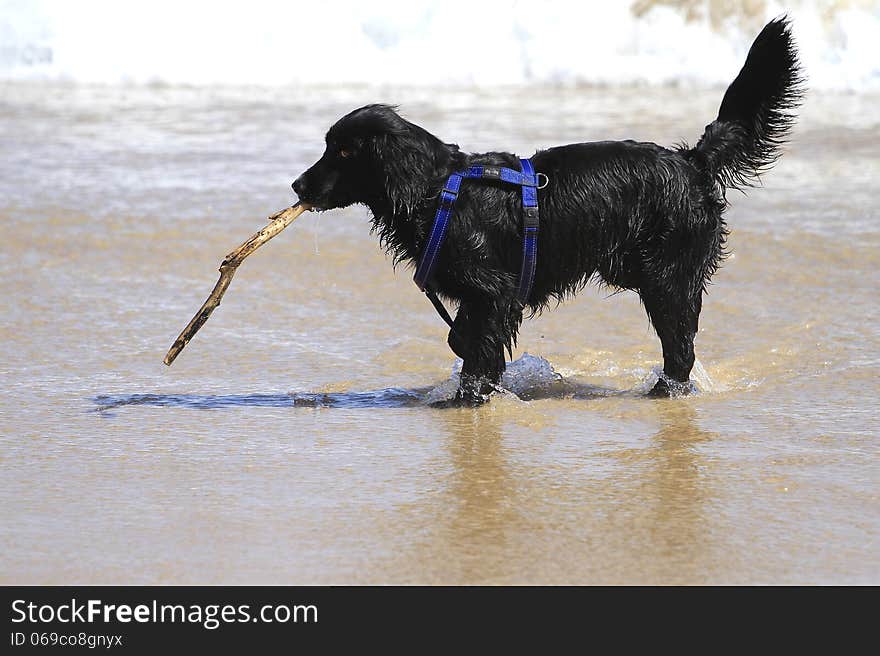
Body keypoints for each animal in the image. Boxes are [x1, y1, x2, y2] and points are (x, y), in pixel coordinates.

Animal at [292, 16, 800, 404]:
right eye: (329, 147)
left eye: (343, 151)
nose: (297, 184)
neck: (439, 190)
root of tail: (690, 161)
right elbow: (465, 340)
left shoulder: (495, 291)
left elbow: (478, 349)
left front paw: (469, 398)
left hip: (667, 278)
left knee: (681, 348)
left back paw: (663, 391)